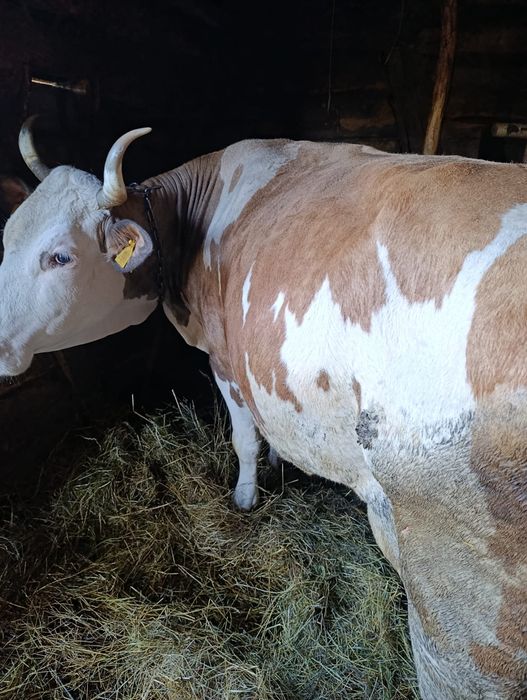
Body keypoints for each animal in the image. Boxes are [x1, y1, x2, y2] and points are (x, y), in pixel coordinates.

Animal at [0, 118, 526, 699]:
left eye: (59, 256)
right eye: (6, 239)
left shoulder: (227, 359)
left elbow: (244, 437)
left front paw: (245, 496)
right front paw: (277, 466)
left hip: (463, 592)